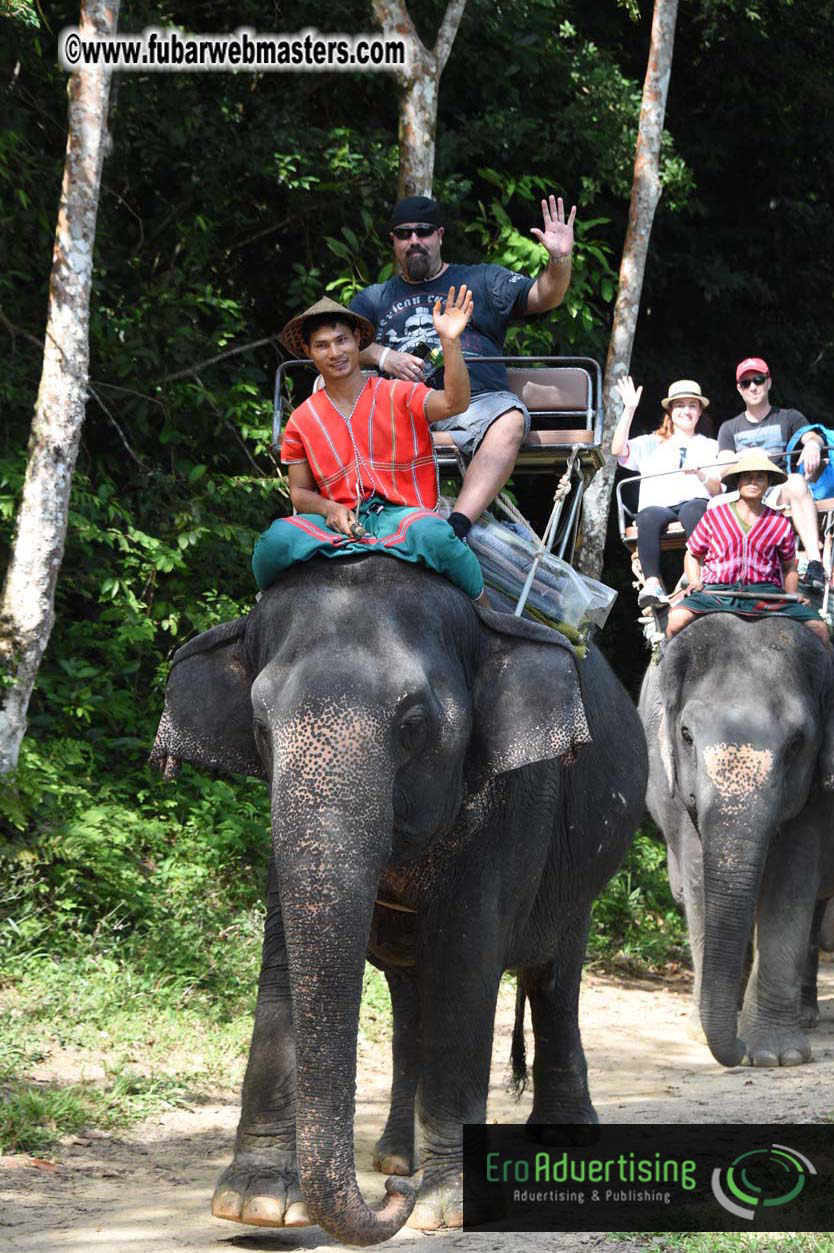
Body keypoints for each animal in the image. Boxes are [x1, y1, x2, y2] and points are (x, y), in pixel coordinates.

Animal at [150, 555, 647, 1245]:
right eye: (260, 729)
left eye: (413, 726)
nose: (391, 1199)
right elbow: (282, 962)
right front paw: (255, 1204)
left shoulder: (516, 799)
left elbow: (465, 963)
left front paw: (448, 1208)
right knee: (413, 1002)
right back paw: (394, 1159)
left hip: (586, 870)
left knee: (553, 976)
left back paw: (559, 1141)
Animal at [639, 612, 834, 1068]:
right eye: (687, 735)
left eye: (797, 743)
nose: (738, 1052)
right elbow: (698, 878)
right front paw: (703, 1036)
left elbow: (791, 882)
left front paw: (776, 1056)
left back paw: (804, 1016)